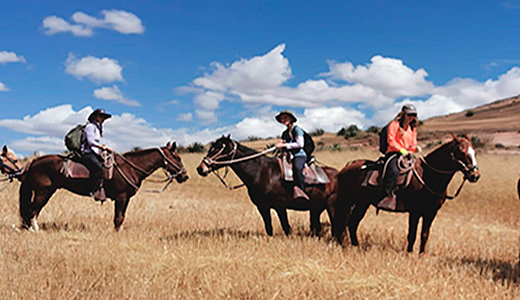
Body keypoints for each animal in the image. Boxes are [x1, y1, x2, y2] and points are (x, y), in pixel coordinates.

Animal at [18, 142, 189, 231]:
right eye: (177, 158)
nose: (185, 176)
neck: (130, 167)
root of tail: (34, 161)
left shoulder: (125, 198)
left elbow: (121, 217)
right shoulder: (121, 197)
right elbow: (118, 218)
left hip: (47, 192)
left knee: (34, 210)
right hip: (42, 192)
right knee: (32, 210)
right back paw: (35, 230)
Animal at [195, 135, 338, 237]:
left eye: (219, 148)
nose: (201, 168)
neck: (261, 172)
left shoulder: (279, 207)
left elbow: (285, 227)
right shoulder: (262, 207)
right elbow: (269, 227)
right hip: (316, 208)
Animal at [334, 135, 480, 254]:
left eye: (475, 152)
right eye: (461, 152)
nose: (475, 175)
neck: (427, 176)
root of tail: (347, 167)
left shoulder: (431, 213)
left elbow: (424, 235)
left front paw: (421, 255)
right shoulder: (415, 212)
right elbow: (412, 234)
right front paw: (409, 254)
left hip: (362, 203)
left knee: (352, 223)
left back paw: (356, 246)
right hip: (346, 201)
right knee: (341, 221)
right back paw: (341, 245)